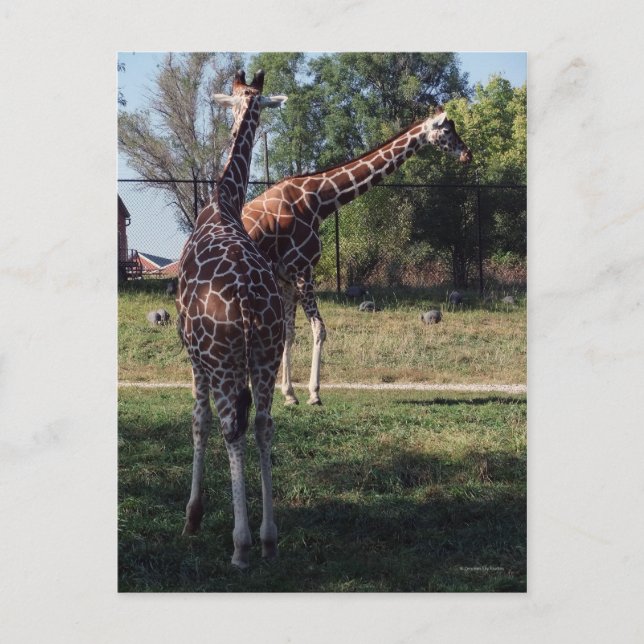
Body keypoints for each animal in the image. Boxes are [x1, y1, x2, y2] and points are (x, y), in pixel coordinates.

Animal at [241, 107, 472, 405]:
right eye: (446, 131)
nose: (467, 154)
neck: (319, 202)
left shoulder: (287, 278)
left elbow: (289, 334)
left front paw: (290, 394)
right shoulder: (303, 270)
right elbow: (319, 328)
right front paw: (314, 394)